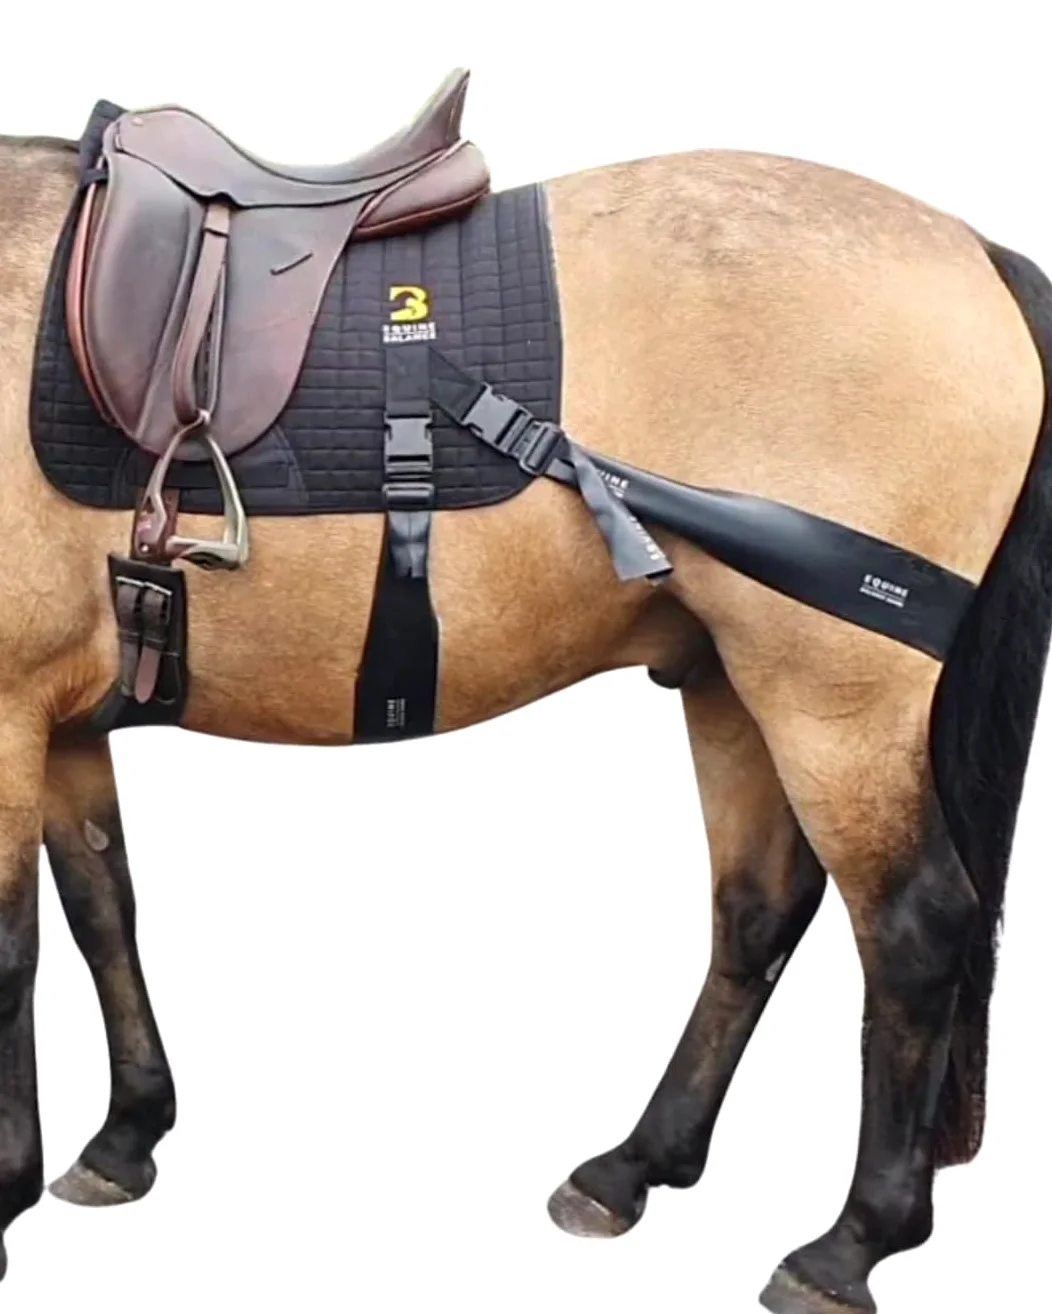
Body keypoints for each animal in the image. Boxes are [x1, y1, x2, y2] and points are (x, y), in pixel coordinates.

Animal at [1, 71, 1050, 1314]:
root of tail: (973, 247)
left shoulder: (8, 716)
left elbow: (13, 949)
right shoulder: (61, 723)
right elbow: (100, 910)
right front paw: (126, 1137)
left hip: (834, 700)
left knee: (913, 928)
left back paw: (846, 1244)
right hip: (731, 683)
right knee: (755, 911)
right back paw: (633, 1166)